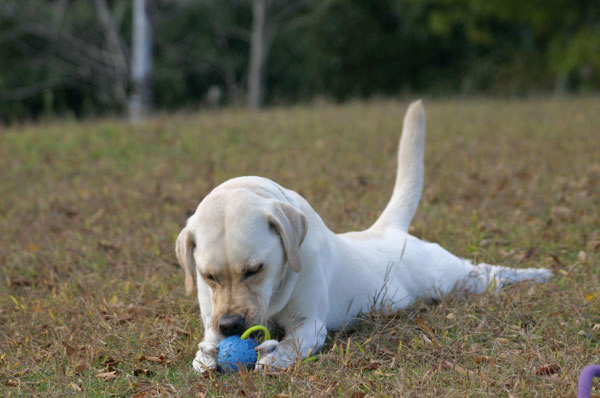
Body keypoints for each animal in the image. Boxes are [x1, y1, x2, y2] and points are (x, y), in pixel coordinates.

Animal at [175, 101, 552, 372]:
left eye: (255, 269)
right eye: (208, 276)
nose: (231, 325)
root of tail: (390, 230)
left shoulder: (311, 321)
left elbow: (293, 343)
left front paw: (276, 355)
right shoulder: (211, 313)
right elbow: (206, 341)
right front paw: (205, 356)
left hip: (453, 278)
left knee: (489, 273)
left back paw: (537, 274)